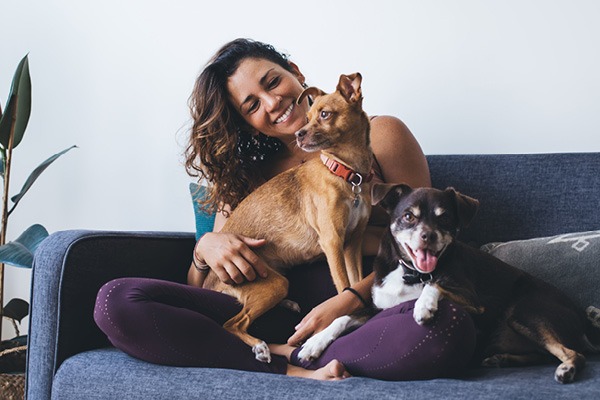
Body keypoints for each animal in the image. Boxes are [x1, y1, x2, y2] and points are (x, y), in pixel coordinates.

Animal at [205, 72, 376, 362]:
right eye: (307, 117)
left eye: (325, 114)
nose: (298, 133)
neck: (346, 172)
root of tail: (211, 282)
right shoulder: (332, 242)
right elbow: (343, 288)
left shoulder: (352, 243)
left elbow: (354, 284)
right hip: (271, 285)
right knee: (232, 323)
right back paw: (259, 346)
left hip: (275, 281)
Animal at [300, 184, 600, 384]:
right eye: (408, 216)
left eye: (444, 217)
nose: (428, 236)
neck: (411, 273)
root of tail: (582, 320)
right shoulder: (379, 309)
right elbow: (342, 318)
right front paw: (313, 343)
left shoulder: (474, 301)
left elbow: (436, 285)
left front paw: (423, 306)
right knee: (545, 353)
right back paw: (501, 359)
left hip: (526, 313)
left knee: (573, 353)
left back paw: (567, 369)